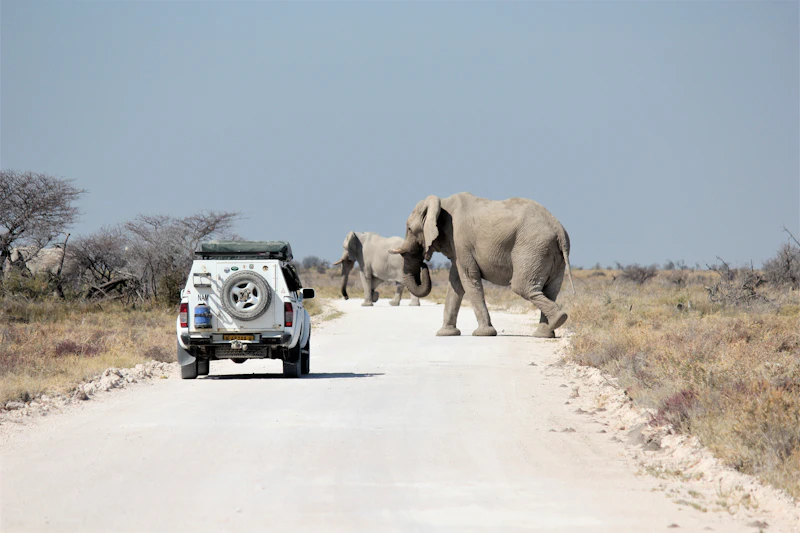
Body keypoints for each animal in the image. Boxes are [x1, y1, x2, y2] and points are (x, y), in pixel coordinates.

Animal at [389, 192, 574, 338]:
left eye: (409, 229)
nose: (424, 266)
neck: (442, 203)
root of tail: (559, 230)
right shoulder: (457, 246)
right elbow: (455, 282)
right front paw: (445, 334)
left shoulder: (460, 240)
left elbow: (468, 279)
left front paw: (483, 333)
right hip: (551, 254)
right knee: (550, 290)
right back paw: (545, 332)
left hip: (533, 247)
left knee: (522, 286)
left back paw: (558, 319)